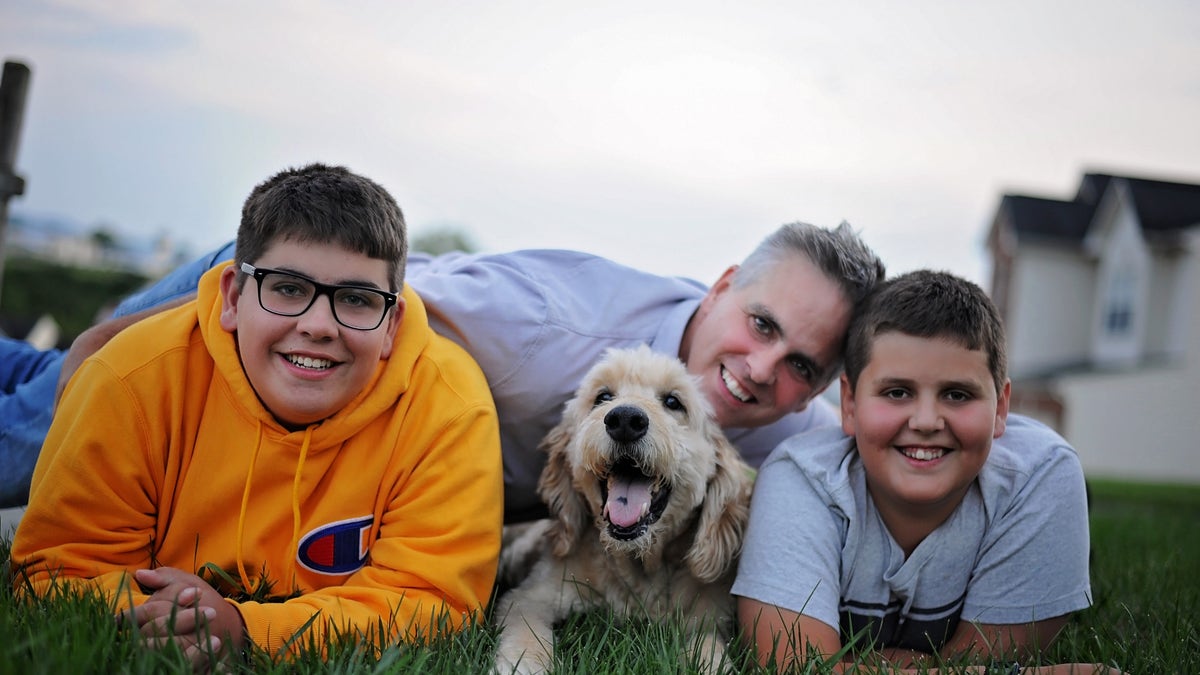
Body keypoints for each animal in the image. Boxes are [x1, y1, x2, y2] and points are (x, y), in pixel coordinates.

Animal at [489, 343, 748, 667]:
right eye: (603, 397)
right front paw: (524, 665)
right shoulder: (530, 597)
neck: (640, 565)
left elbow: (709, 649)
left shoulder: (708, 621)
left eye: (673, 402)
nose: (625, 420)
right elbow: (528, 636)